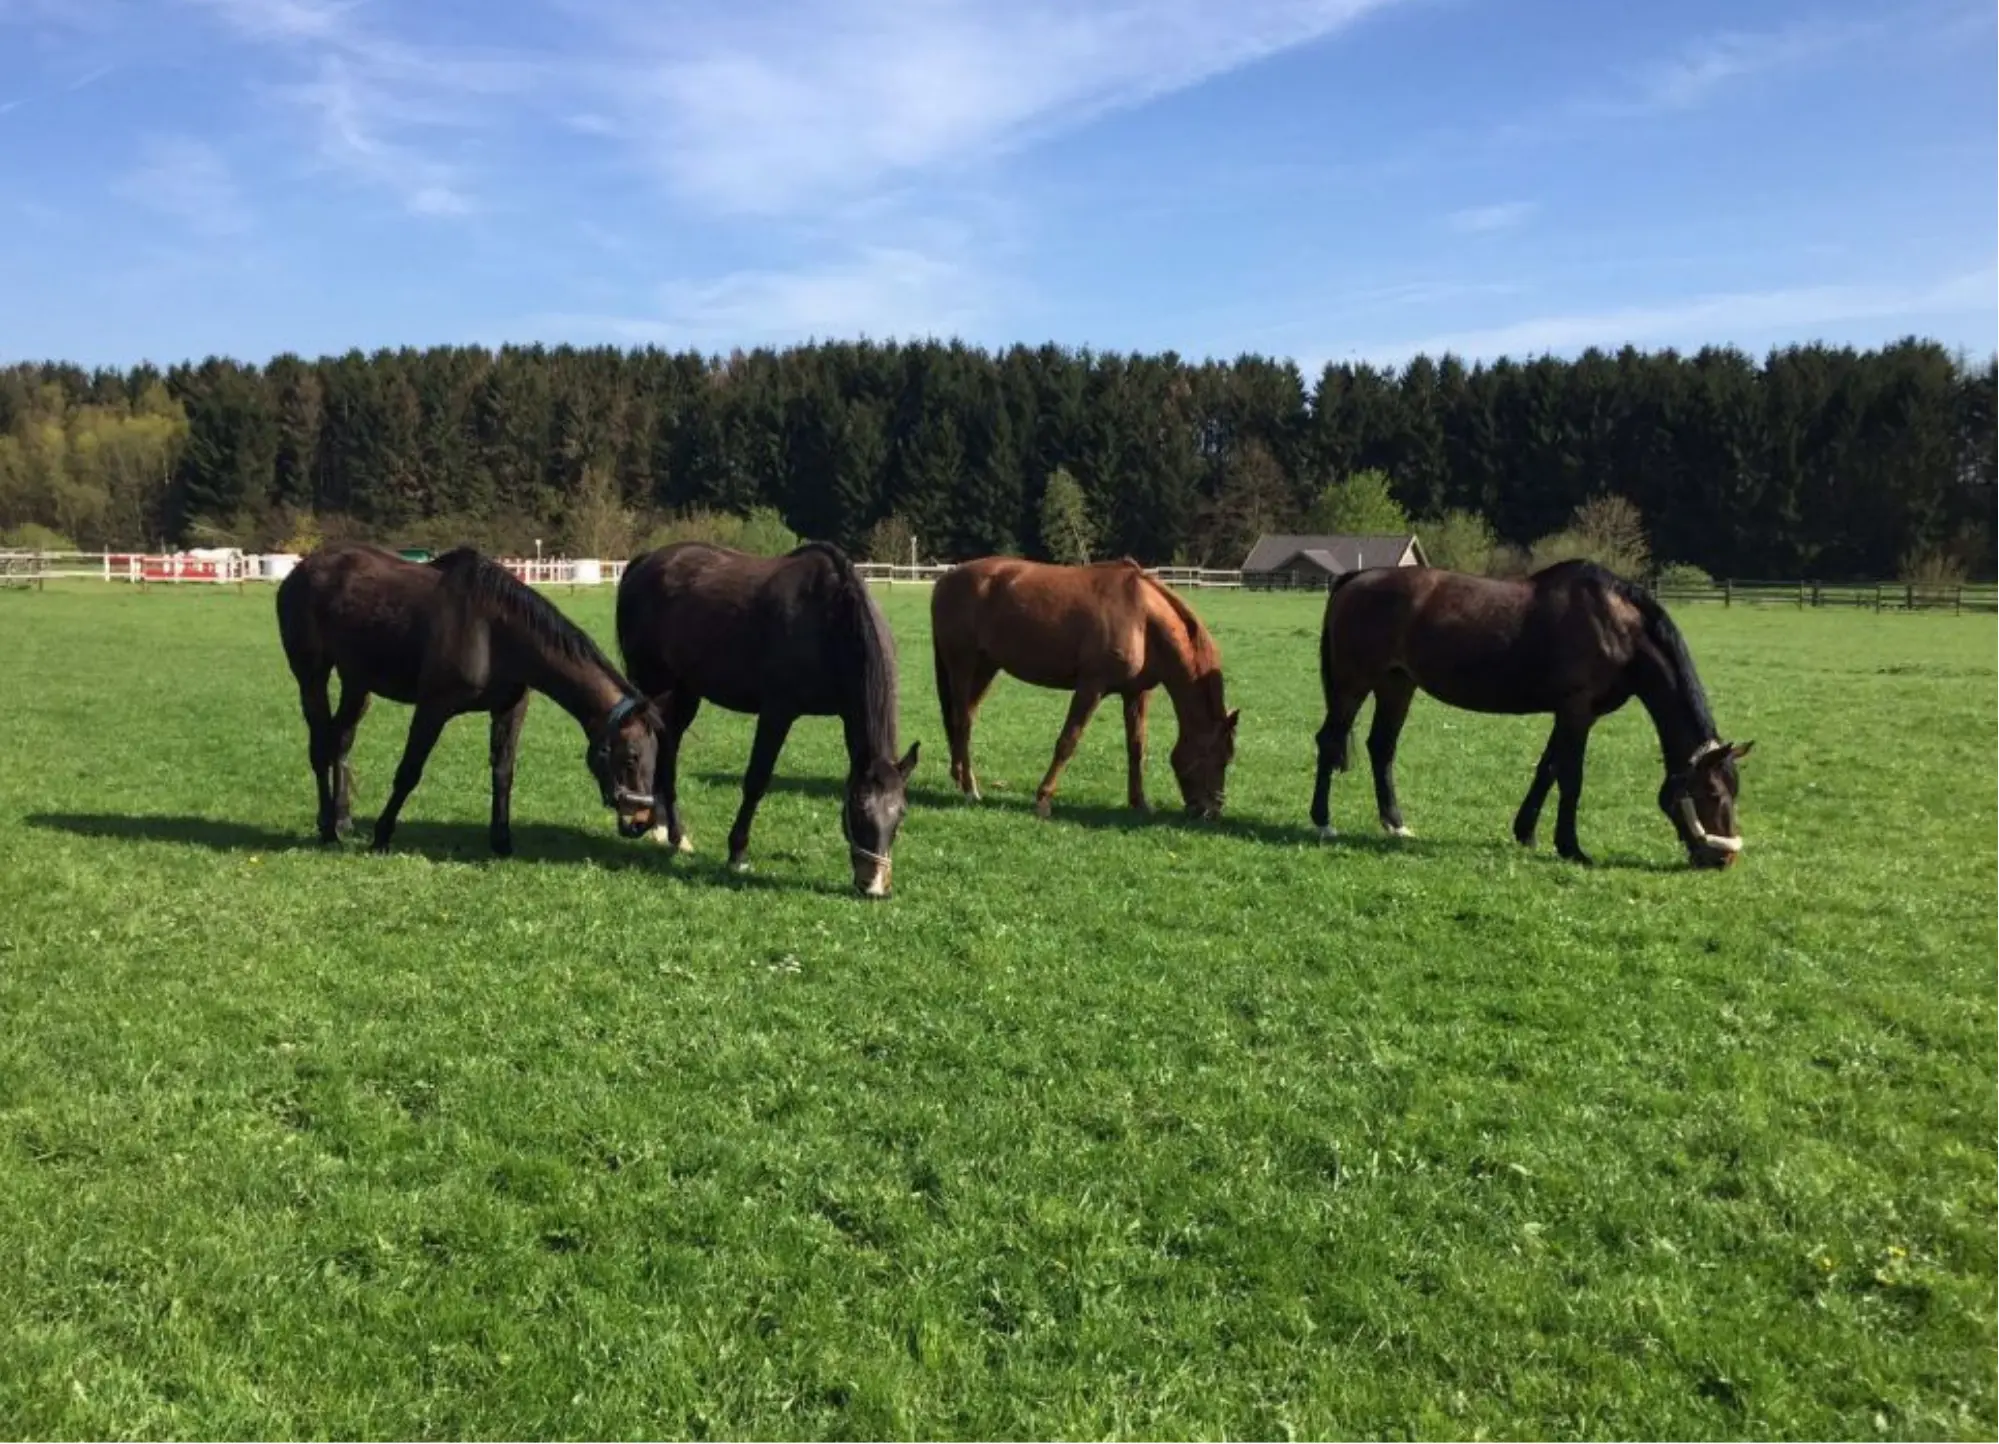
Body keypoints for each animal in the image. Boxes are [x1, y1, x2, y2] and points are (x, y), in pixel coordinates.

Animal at [275, 544, 663, 856]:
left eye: (656, 755)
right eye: (630, 757)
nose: (642, 821)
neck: (494, 631)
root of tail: (299, 571)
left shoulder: (510, 709)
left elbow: (504, 772)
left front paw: (502, 840)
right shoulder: (433, 707)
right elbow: (409, 772)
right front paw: (382, 835)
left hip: (358, 683)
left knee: (340, 741)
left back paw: (342, 819)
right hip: (312, 676)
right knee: (320, 746)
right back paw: (328, 826)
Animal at [615, 540, 919, 897]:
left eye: (901, 812)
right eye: (858, 808)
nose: (874, 886)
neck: (830, 622)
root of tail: (645, 561)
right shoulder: (777, 712)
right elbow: (756, 781)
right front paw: (737, 853)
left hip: (685, 690)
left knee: (669, 744)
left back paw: (670, 831)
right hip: (651, 682)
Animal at [931, 556, 1239, 820]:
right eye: (1220, 758)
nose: (1211, 811)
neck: (1143, 619)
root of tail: (947, 578)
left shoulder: (1136, 694)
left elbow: (1136, 746)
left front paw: (1140, 802)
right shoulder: (1091, 687)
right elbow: (1068, 741)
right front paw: (1043, 799)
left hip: (986, 669)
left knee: (962, 720)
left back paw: (959, 778)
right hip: (963, 666)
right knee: (964, 723)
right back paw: (971, 790)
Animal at [1308, 558, 1752, 868]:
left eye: (1735, 792)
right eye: (1713, 793)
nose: (1725, 858)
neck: (1617, 626)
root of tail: (1356, 578)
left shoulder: (1572, 714)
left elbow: (1547, 770)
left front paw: (1526, 833)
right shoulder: (1577, 710)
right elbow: (1571, 778)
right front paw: (1572, 848)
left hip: (1396, 685)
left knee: (1381, 747)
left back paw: (1395, 824)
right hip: (1353, 684)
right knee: (1329, 741)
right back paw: (1323, 821)